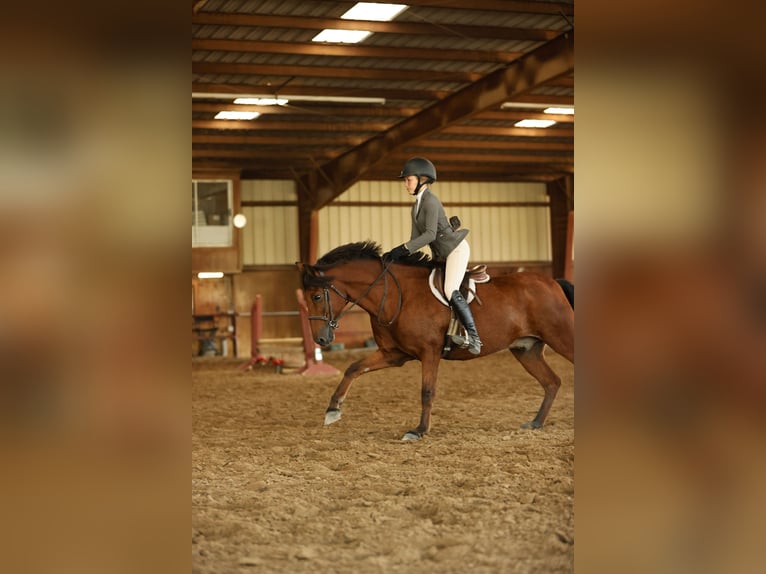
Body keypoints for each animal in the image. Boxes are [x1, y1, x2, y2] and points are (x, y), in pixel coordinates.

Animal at [298, 241, 574, 441]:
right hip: (526, 349)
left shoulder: (429, 351)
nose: (321, 338)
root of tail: (553, 283)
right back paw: (536, 422)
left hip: (561, 338)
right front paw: (333, 410)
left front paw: (419, 430)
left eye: (317, 296)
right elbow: (353, 368)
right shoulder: (393, 354)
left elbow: (427, 391)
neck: (396, 294)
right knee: (552, 382)